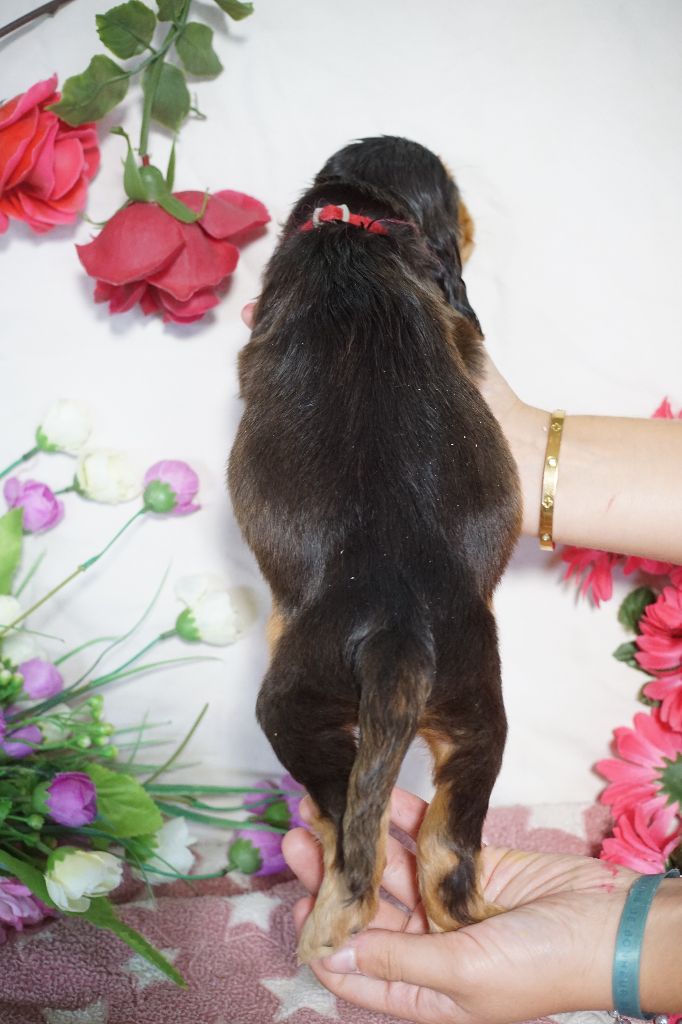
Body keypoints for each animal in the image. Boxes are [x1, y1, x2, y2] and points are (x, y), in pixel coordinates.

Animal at [228, 136, 521, 963]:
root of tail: (400, 628)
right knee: (447, 860)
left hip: (293, 705)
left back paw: (331, 911)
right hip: (477, 707)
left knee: (355, 830)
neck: (356, 221)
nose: (474, 223)